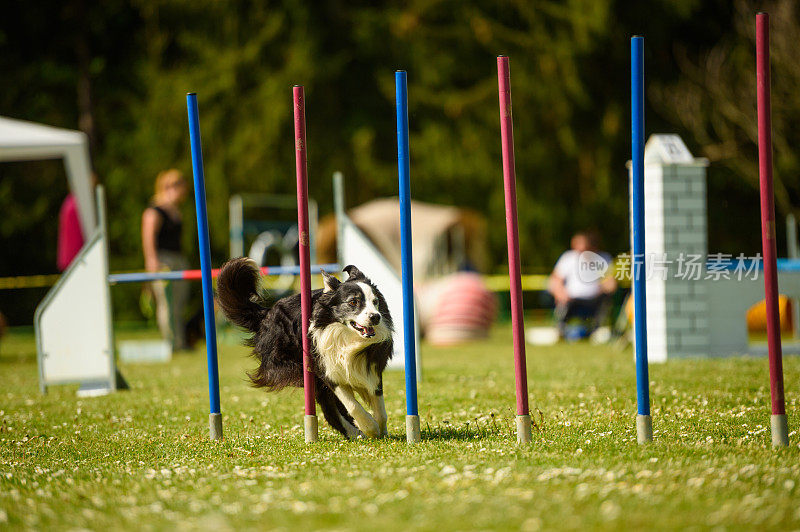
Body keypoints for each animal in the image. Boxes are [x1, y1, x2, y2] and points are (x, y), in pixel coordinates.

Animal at [216, 256, 394, 436]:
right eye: (353, 302)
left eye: (375, 302)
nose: (376, 317)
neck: (346, 337)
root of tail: (266, 313)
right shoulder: (327, 368)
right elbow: (352, 405)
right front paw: (370, 428)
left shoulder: (371, 367)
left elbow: (381, 410)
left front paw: (382, 431)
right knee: (330, 408)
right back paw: (355, 432)